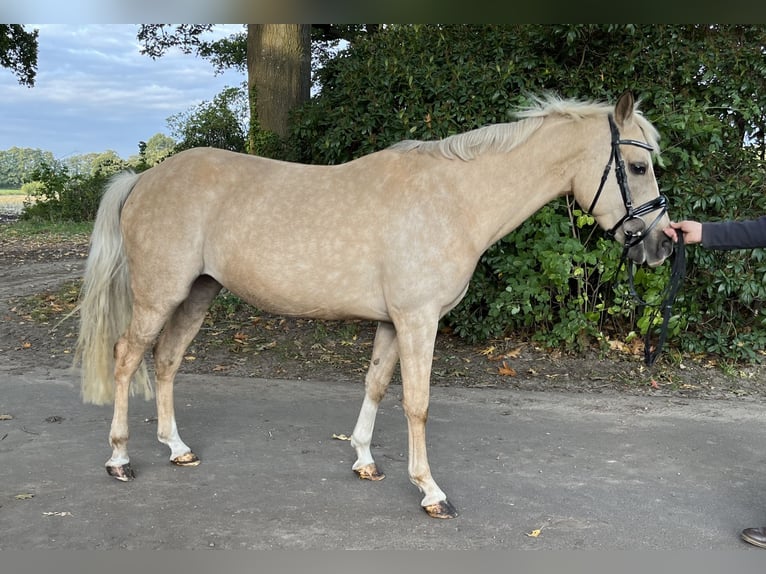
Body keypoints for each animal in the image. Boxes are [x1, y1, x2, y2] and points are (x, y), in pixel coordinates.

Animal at [72, 92, 672, 520]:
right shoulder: (418, 319)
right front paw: (430, 490)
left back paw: (177, 447)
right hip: (160, 295)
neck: (456, 199)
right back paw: (120, 458)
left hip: (197, 293)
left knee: (167, 360)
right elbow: (417, 403)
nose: (663, 244)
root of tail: (144, 178)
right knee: (128, 357)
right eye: (639, 168)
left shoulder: (392, 321)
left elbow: (378, 385)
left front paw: (364, 458)